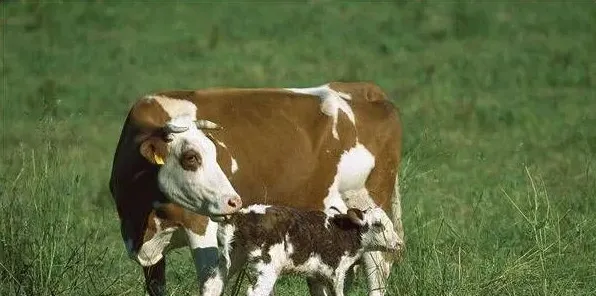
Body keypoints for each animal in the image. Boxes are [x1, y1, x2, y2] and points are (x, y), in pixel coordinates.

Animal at [203, 205, 402, 296]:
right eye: (378, 225)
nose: (400, 243)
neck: (342, 232)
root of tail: (241, 215)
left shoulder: (317, 276)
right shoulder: (335, 273)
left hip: (234, 256)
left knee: (212, 285)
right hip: (267, 266)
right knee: (256, 292)